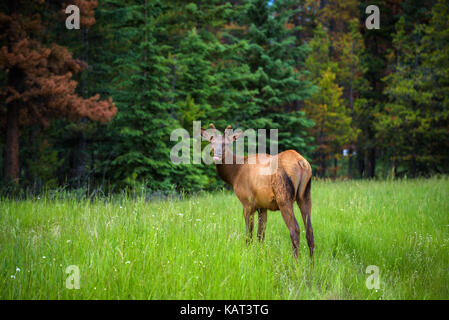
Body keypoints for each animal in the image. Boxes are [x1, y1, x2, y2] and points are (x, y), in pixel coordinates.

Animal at [201, 122, 314, 260]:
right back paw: (312, 264)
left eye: (226, 143)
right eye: (211, 142)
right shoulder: (263, 206)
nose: (217, 156)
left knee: (295, 230)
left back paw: (295, 263)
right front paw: (260, 256)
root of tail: (301, 163)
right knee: (310, 230)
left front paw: (247, 254)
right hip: (305, 195)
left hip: (284, 197)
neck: (234, 175)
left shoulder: (247, 203)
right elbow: (261, 235)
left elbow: (249, 234)